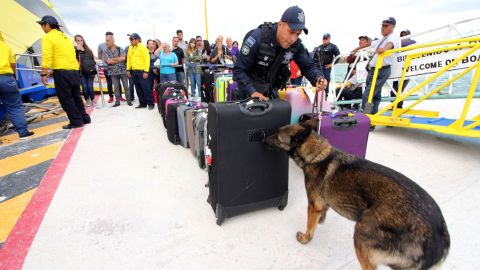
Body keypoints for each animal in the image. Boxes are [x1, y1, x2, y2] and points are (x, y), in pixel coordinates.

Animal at [262, 121, 450, 268]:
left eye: (277, 137)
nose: (262, 139)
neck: (317, 155)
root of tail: (440, 236)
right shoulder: (322, 205)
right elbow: (320, 216)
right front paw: (320, 221)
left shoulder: (313, 205)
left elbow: (310, 225)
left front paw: (306, 238)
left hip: (361, 234)